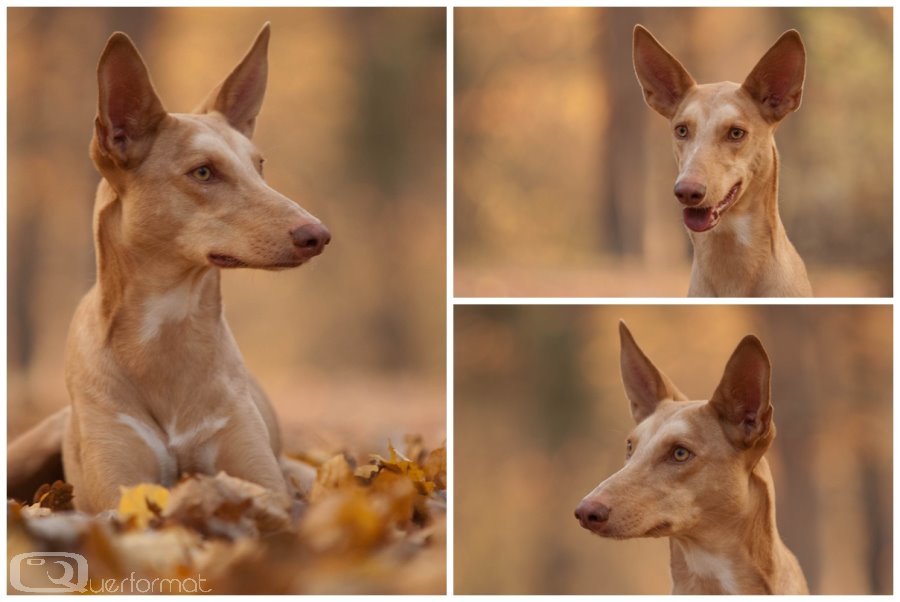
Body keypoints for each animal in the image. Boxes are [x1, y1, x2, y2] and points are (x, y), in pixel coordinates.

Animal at [7, 23, 330, 510]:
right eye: (203, 172)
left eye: (259, 167)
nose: (318, 235)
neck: (168, 330)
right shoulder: (117, 489)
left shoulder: (264, 481)